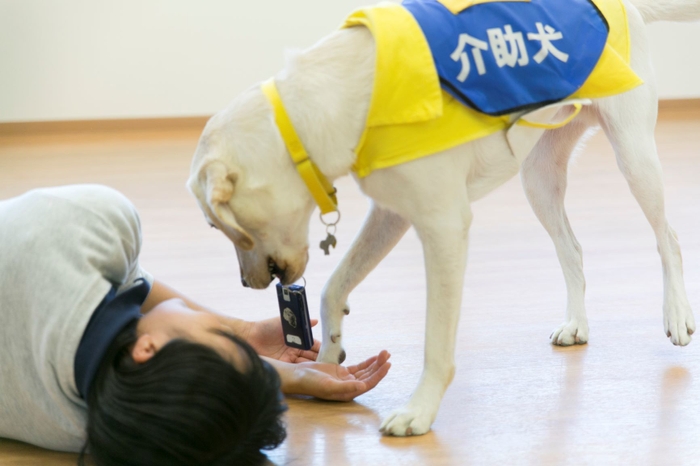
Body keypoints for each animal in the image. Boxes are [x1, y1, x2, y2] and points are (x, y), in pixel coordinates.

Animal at [189, 0, 696, 436]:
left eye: (219, 226)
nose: (246, 284)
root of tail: (623, 7)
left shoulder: (444, 227)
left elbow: (436, 341)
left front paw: (419, 412)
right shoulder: (391, 214)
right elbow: (335, 286)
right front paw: (329, 358)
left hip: (633, 154)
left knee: (668, 238)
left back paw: (676, 313)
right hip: (538, 177)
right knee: (571, 248)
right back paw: (577, 323)